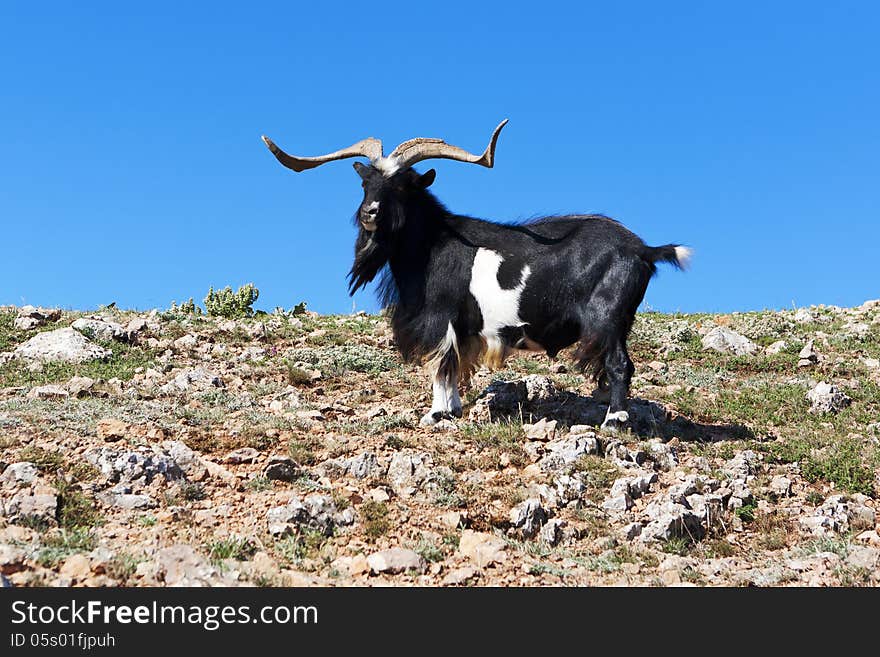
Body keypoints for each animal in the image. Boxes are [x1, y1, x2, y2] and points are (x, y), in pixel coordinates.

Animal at [264, 121, 692, 430]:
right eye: (365, 181)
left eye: (403, 185)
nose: (370, 212)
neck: (433, 244)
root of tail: (643, 249)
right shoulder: (463, 327)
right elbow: (454, 366)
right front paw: (452, 409)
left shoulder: (440, 317)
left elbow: (441, 363)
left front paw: (435, 414)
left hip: (608, 317)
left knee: (619, 365)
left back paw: (614, 422)